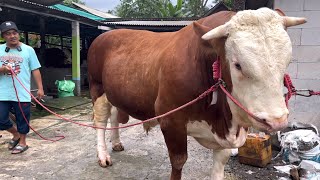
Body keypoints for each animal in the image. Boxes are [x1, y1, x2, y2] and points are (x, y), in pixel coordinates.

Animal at [87, 8, 304, 180]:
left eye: (287, 62)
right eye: (238, 65)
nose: (277, 121)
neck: (223, 121)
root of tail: (104, 36)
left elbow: (220, 165)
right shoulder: (171, 120)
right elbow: (178, 161)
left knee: (114, 115)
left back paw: (116, 142)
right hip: (97, 87)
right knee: (100, 121)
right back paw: (103, 155)